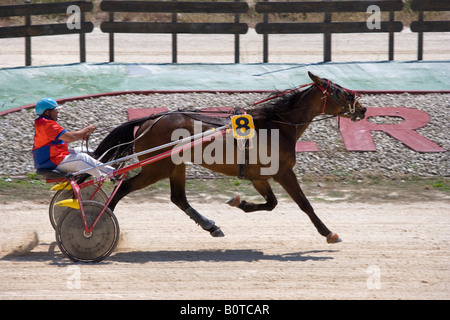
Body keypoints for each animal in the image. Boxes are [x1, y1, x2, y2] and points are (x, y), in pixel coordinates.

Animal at [93, 72, 368, 242]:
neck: (276, 125)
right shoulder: (283, 172)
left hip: (174, 165)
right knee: (123, 187)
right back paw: (99, 224)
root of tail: (151, 119)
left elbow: (271, 204)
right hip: (156, 167)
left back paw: (210, 226)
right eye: (341, 92)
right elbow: (305, 204)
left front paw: (239, 202)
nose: (363, 109)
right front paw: (328, 233)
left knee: (178, 198)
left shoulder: (259, 176)